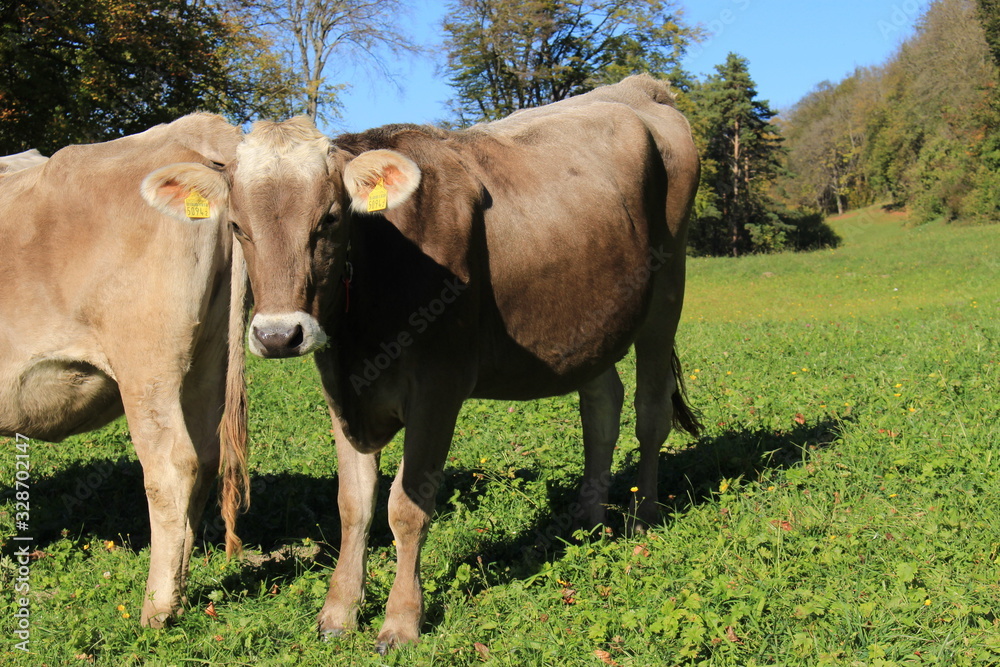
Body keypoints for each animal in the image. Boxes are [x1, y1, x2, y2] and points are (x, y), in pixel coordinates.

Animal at [0, 114, 249, 628]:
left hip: (146, 365)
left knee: (172, 467)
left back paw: (156, 609)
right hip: (208, 358)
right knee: (205, 460)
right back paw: (179, 591)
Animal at [142, 74, 701, 651]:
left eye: (330, 218)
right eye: (236, 225)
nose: (279, 335)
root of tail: (639, 87)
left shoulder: (440, 387)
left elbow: (406, 507)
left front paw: (400, 621)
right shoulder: (342, 390)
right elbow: (353, 504)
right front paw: (338, 612)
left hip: (667, 291)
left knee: (651, 411)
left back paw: (642, 516)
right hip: (590, 320)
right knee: (602, 406)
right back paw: (588, 519)